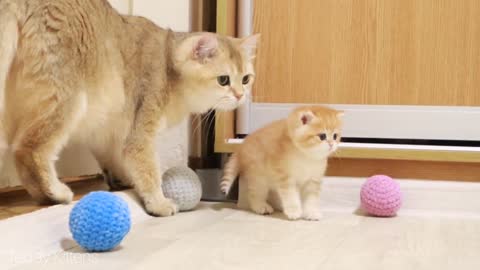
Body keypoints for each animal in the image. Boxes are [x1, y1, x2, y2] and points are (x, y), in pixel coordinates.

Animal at [0, 0, 258, 215]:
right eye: (223, 80)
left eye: (246, 79)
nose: (240, 95)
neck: (168, 66)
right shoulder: (141, 128)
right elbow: (145, 165)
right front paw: (158, 202)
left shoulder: (106, 130)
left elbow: (114, 157)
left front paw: (122, 179)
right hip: (69, 100)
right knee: (27, 149)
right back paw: (54, 193)